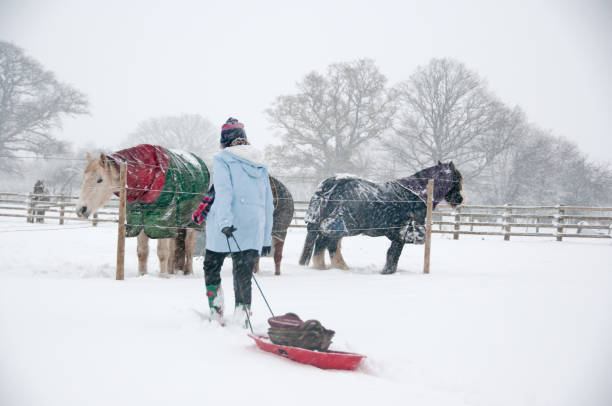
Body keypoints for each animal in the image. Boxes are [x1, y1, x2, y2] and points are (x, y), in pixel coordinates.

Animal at [298, 161, 464, 272]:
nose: (460, 199)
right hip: (338, 226)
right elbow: (393, 256)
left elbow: (391, 255)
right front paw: (387, 272)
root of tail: (329, 184)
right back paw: (324, 268)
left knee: (330, 246)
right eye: (457, 178)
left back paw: (341, 268)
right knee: (323, 244)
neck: (415, 194)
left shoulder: (398, 235)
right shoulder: (402, 234)